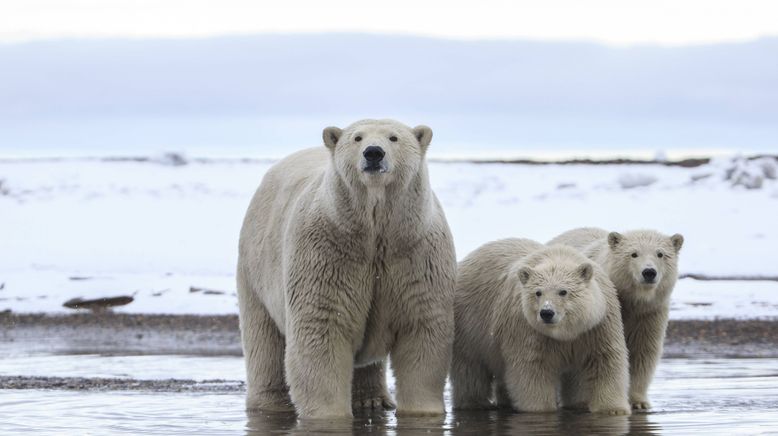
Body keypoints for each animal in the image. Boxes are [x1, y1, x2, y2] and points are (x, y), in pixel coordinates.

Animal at [236, 119, 454, 418]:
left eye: (393, 138)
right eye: (357, 138)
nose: (373, 153)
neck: (375, 233)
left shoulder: (415, 253)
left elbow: (422, 328)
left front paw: (423, 412)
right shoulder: (326, 253)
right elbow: (322, 327)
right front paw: (329, 415)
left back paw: (371, 400)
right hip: (255, 267)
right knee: (263, 338)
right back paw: (271, 403)